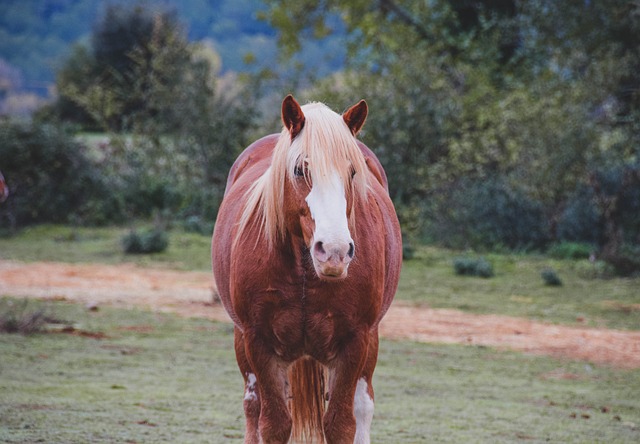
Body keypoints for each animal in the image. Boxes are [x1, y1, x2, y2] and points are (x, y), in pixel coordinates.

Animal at [212, 95, 402, 442]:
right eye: (301, 169)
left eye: (352, 172)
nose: (335, 251)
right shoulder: (258, 342)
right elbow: (273, 424)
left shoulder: (355, 343)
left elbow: (341, 424)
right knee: (252, 405)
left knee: (363, 406)